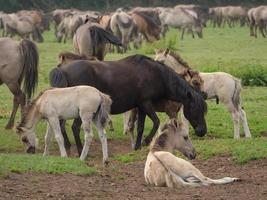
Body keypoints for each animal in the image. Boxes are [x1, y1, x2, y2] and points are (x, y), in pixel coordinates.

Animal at [49, 54, 207, 153]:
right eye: (196, 109)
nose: (202, 131)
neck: (156, 74)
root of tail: (63, 70)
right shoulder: (146, 104)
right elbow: (156, 122)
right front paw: (145, 141)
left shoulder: (141, 107)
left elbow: (140, 127)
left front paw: (137, 146)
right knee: (75, 128)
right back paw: (81, 150)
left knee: (63, 126)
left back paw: (68, 147)